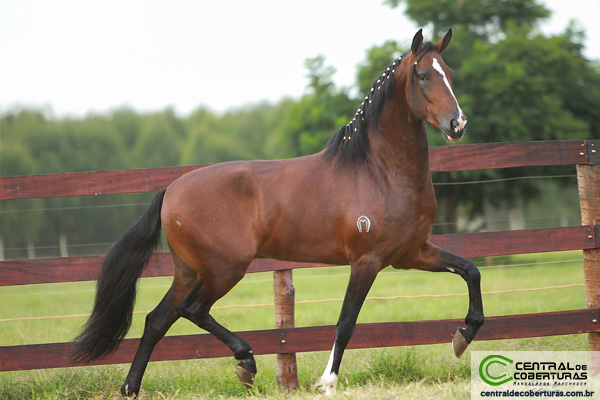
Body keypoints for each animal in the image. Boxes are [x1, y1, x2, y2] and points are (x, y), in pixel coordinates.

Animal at [71, 28, 482, 396]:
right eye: (423, 75)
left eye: (449, 72)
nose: (458, 124)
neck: (378, 171)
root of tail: (171, 190)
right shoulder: (367, 261)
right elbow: (346, 322)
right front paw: (328, 382)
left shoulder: (411, 254)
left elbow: (470, 271)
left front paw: (462, 336)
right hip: (224, 269)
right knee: (192, 309)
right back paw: (246, 361)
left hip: (189, 271)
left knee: (157, 320)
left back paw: (131, 387)